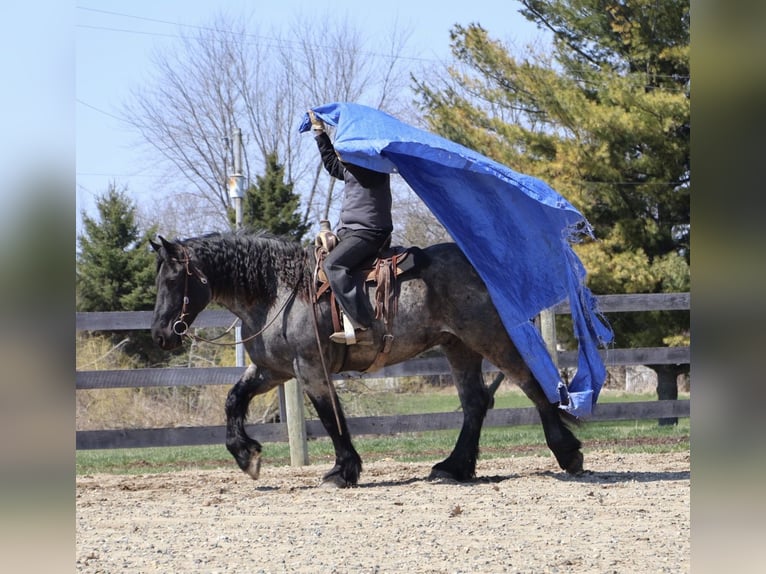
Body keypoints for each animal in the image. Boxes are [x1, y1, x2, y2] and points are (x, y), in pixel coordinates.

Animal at [149, 230, 584, 487]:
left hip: (489, 337)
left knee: (530, 383)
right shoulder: (272, 370)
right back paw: (452, 468)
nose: (160, 334)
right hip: (457, 346)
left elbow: (331, 418)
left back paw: (567, 452)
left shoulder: (311, 370)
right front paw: (246, 455)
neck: (278, 293)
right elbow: (233, 399)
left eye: (172, 279)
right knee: (475, 402)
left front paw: (343, 471)